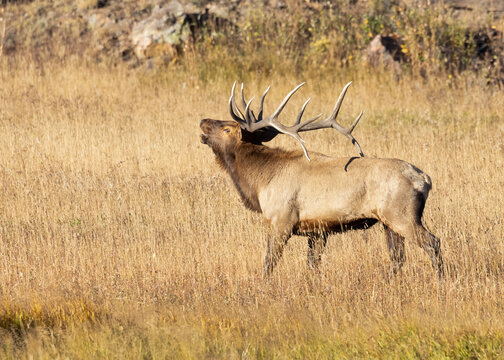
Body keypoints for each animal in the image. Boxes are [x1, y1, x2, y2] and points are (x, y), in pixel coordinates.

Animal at [199, 82, 442, 278]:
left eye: (226, 128)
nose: (202, 120)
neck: (260, 182)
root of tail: (424, 179)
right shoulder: (317, 231)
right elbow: (312, 266)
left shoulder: (281, 221)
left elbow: (269, 264)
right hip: (388, 222)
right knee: (397, 257)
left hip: (402, 215)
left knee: (433, 243)